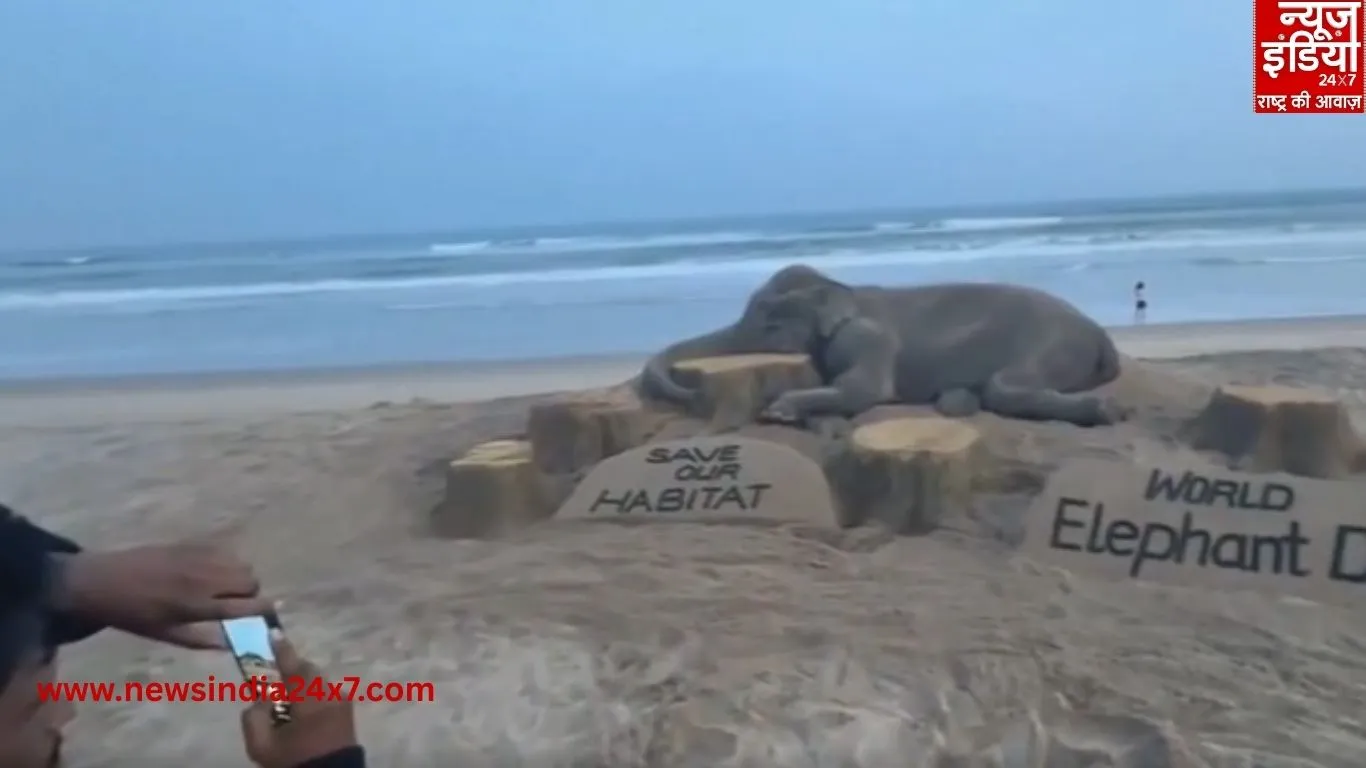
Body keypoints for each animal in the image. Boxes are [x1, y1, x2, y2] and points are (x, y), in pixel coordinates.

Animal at [638, 264, 1125, 428]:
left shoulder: (868, 337)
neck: (840, 286)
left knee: (1006, 387)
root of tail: (1102, 337)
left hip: (1049, 344)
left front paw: (778, 410)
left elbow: (864, 390)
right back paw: (955, 400)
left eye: (768, 320)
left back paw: (1106, 411)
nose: (690, 390)